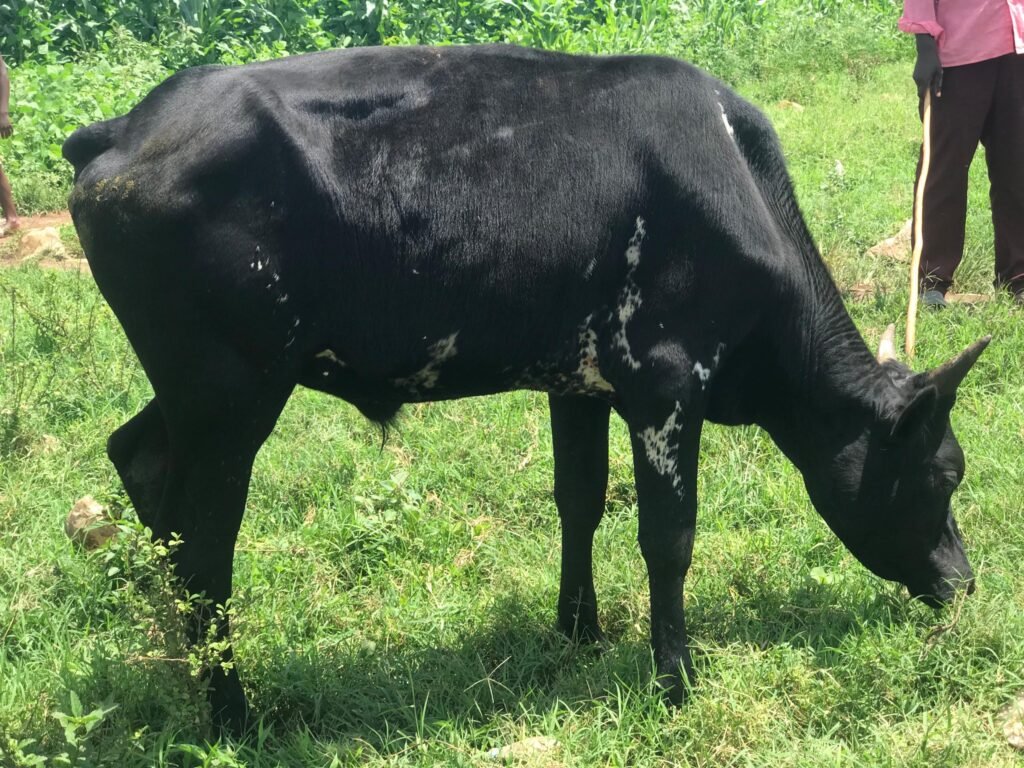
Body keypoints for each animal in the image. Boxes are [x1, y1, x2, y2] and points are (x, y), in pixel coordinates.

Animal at [62, 43, 989, 732]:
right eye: (942, 475)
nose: (965, 583)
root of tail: (123, 127)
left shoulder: (579, 381)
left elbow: (579, 497)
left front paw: (578, 630)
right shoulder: (666, 381)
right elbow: (669, 537)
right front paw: (676, 679)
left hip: (200, 391)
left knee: (139, 461)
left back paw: (182, 663)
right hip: (232, 393)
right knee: (203, 546)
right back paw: (231, 712)